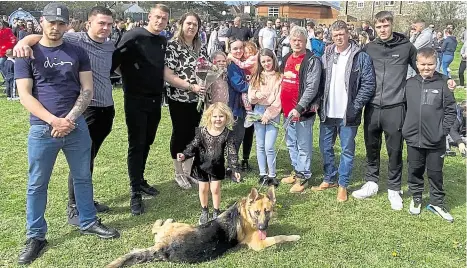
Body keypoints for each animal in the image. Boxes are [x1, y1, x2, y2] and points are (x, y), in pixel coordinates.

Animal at [107, 187, 300, 266]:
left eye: (267, 212)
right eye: (256, 212)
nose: (261, 227)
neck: (244, 213)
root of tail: (163, 248)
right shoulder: (259, 244)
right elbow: (279, 237)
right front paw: (294, 236)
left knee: (156, 230)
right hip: (181, 225)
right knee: (159, 226)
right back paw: (165, 219)